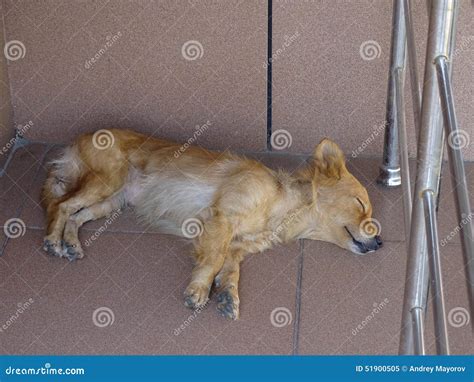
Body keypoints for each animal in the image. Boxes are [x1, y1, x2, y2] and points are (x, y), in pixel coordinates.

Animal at [41, 128, 382, 320]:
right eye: (361, 205)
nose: (380, 242)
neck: (282, 206)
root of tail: (78, 139)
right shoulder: (221, 218)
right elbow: (214, 259)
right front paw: (199, 289)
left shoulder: (236, 246)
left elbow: (230, 269)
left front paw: (228, 295)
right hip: (106, 181)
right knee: (60, 205)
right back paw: (52, 241)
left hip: (111, 201)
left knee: (75, 214)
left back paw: (71, 243)